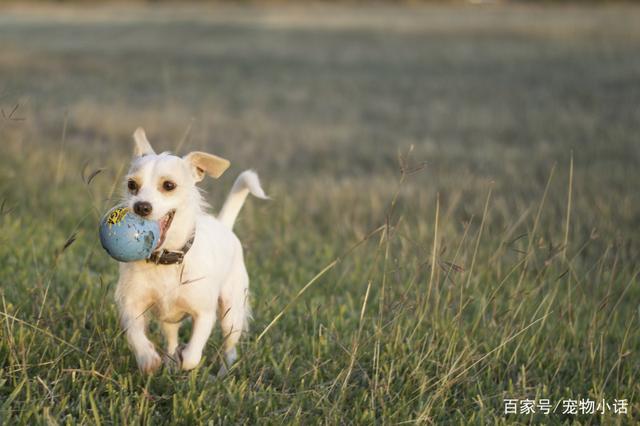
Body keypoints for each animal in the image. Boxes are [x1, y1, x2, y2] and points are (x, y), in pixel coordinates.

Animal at [114, 128, 266, 374]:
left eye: (168, 185)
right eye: (131, 185)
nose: (141, 207)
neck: (165, 259)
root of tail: (224, 225)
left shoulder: (204, 314)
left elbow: (193, 354)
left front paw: (186, 358)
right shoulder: (132, 305)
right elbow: (136, 335)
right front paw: (148, 358)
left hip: (231, 315)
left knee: (230, 348)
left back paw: (223, 372)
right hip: (169, 320)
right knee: (171, 339)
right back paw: (169, 362)